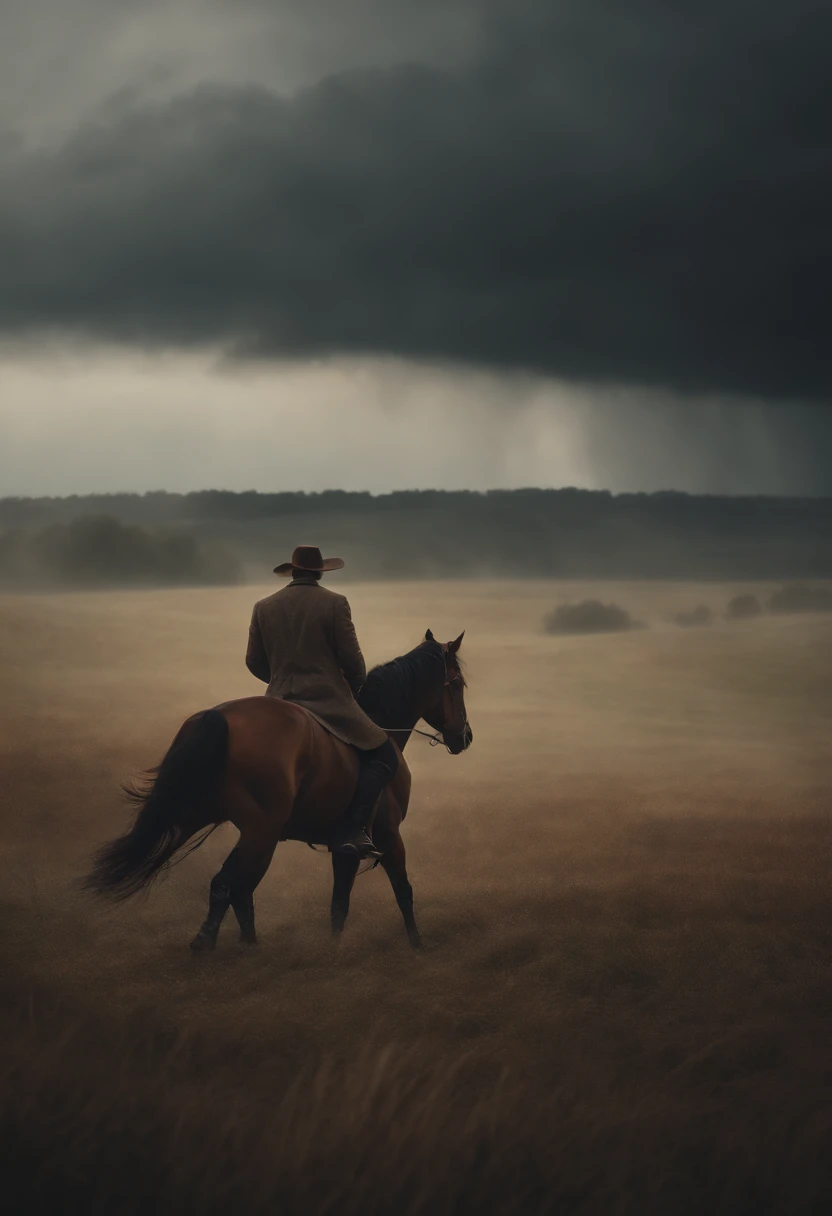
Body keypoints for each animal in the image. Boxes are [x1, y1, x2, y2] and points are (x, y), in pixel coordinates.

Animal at [88, 632, 474, 953]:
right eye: (456, 683)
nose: (465, 737)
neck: (380, 724)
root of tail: (215, 716)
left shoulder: (344, 845)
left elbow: (339, 902)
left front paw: (333, 948)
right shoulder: (388, 834)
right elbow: (403, 891)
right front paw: (417, 946)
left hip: (205, 818)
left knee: (239, 889)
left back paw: (248, 948)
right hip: (263, 830)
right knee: (228, 884)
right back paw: (207, 944)